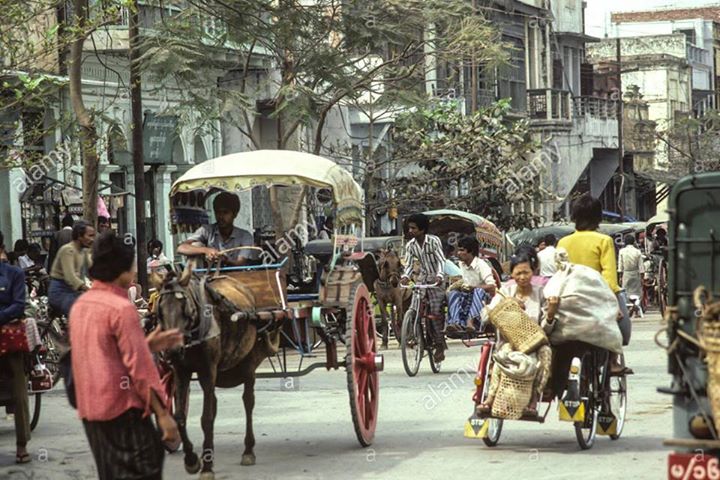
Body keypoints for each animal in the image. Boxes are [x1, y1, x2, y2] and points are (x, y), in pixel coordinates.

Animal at [153, 262, 280, 480]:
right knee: (214, 402)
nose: (172, 350)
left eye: (184, 308)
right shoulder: (181, 371)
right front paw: (192, 460)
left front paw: (206, 467)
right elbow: (180, 417)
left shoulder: (208, 370)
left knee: (248, 402)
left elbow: (206, 418)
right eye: (159, 310)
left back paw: (248, 450)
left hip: (248, 362)